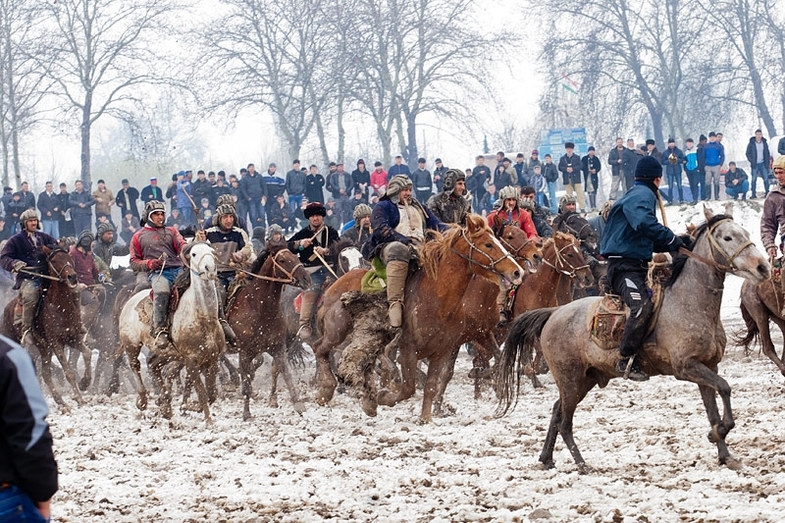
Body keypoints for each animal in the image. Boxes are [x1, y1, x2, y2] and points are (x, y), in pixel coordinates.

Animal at [0, 246, 90, 410]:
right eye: (55, 261)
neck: (60, 308)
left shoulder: (73, 339)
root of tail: (6, 310)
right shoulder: (57, 343)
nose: (73, 277)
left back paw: (60, 401)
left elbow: (87, 353)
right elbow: (69, 372)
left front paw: (85, 383)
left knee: (45, 374)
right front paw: (79, 398)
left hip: (43, 348)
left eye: (69, 258)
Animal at [119, 242, 224, 426]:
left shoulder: (213, 358)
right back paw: (143, 400)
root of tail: (129, 301)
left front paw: (190, 406)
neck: (203, 318)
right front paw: (208, 421)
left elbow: (212, 394)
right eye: (194, 254)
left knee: (153, 365)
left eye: (212, 252)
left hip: (166, 353)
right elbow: (202, 393)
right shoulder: (190, 361)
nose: (210, 268)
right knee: (136, 366)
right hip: (131, 344)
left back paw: (166, 407)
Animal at [224, 243, 310, 422]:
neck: (260, 307)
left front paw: (298, 405)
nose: (306, 279)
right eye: (282, 260)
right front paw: (247, 414)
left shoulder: (278, 348)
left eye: (296, 256)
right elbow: (246, 386)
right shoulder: (244, 352)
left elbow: (284, 373)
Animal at [312, 215, 520, 424]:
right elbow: (408, 388)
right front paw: (383, 396)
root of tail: (334, 287)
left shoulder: (445, 349)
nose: (517, 271)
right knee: (320, 348)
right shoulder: (409, 350)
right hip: (337, 330)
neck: (437, 298)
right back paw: (327, 389)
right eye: (488, 244)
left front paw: (425, 418)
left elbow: (431, 385)